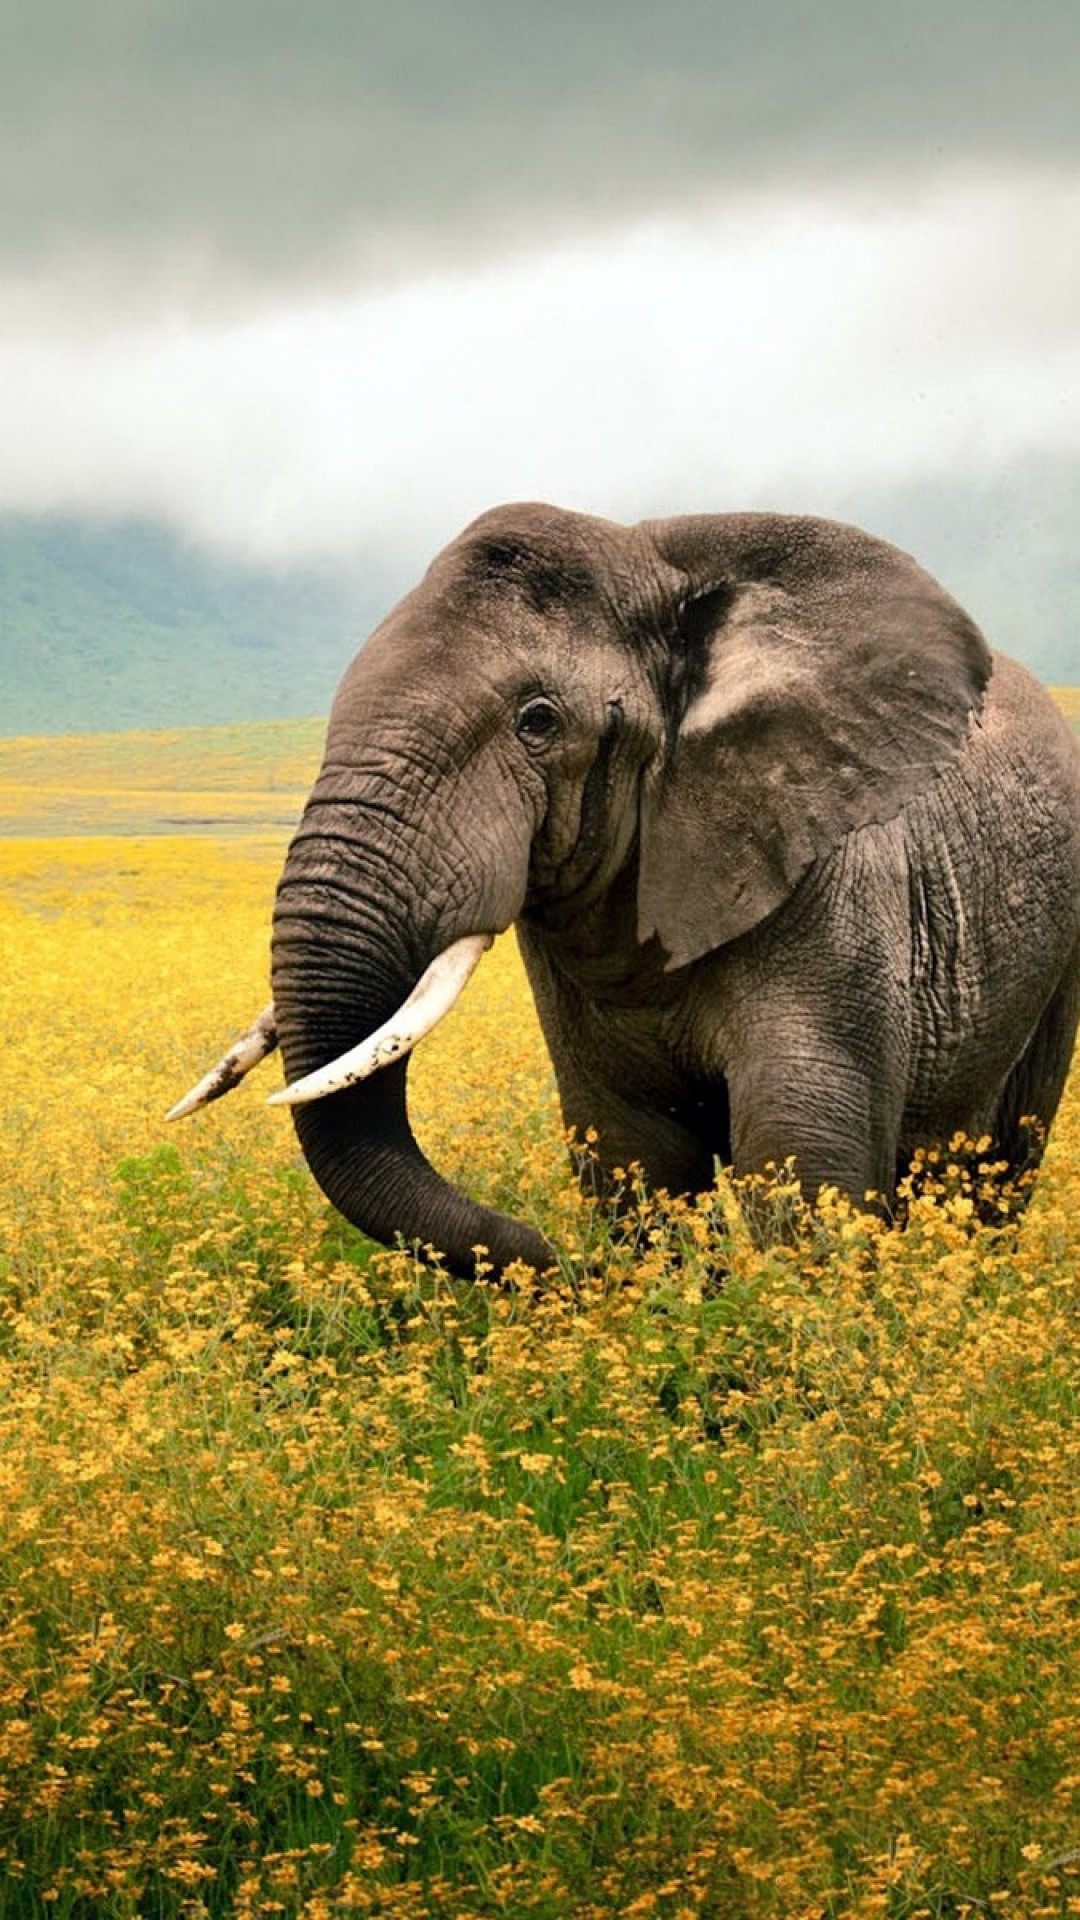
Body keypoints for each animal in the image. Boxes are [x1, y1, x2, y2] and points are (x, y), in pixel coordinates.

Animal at [169, 503, 1080, 1279]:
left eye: (538, 722)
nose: (554, 1260)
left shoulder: (836, 880)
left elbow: (802, 1162)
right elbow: (636, 1155)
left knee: (1000, 1164)